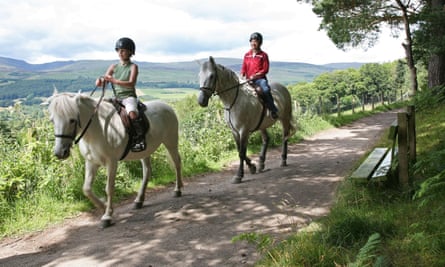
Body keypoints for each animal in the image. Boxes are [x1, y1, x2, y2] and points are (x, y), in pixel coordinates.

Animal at [47, 92, 182, 228]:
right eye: (52, 120)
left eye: (72, 120)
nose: (60, 153)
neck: (98, 129)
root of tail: (167, 106)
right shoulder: (91, 163)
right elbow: (86, 189)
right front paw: (104, 206)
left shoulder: (111, 163)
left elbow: (109, 188)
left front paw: (107, 216)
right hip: (145, 151)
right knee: (147, 171)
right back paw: (139, 201)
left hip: (171, 142)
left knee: (177, 163)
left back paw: (178, 190)